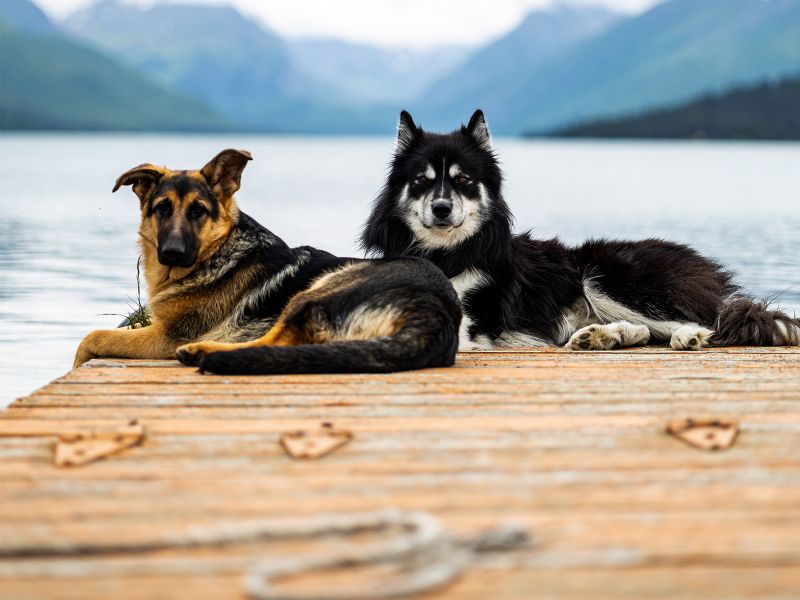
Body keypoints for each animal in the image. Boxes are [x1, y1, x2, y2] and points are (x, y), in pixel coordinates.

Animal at [76, 149, 462, 376]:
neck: (216, 254)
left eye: (198, 211)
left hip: (320, 288)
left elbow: (93, 336)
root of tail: (435, 312)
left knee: (270, 341)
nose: (171, 252)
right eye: (162, 209)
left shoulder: (165, 336)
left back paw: (202, 352)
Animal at [362, 111, 800, 352]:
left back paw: (688, 337)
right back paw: (603, 337)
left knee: (710, 321)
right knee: (646, 331)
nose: (441, 207)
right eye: (421, 181)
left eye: (464, 180)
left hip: (605, 275)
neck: (445, 254)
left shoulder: (474, 321)